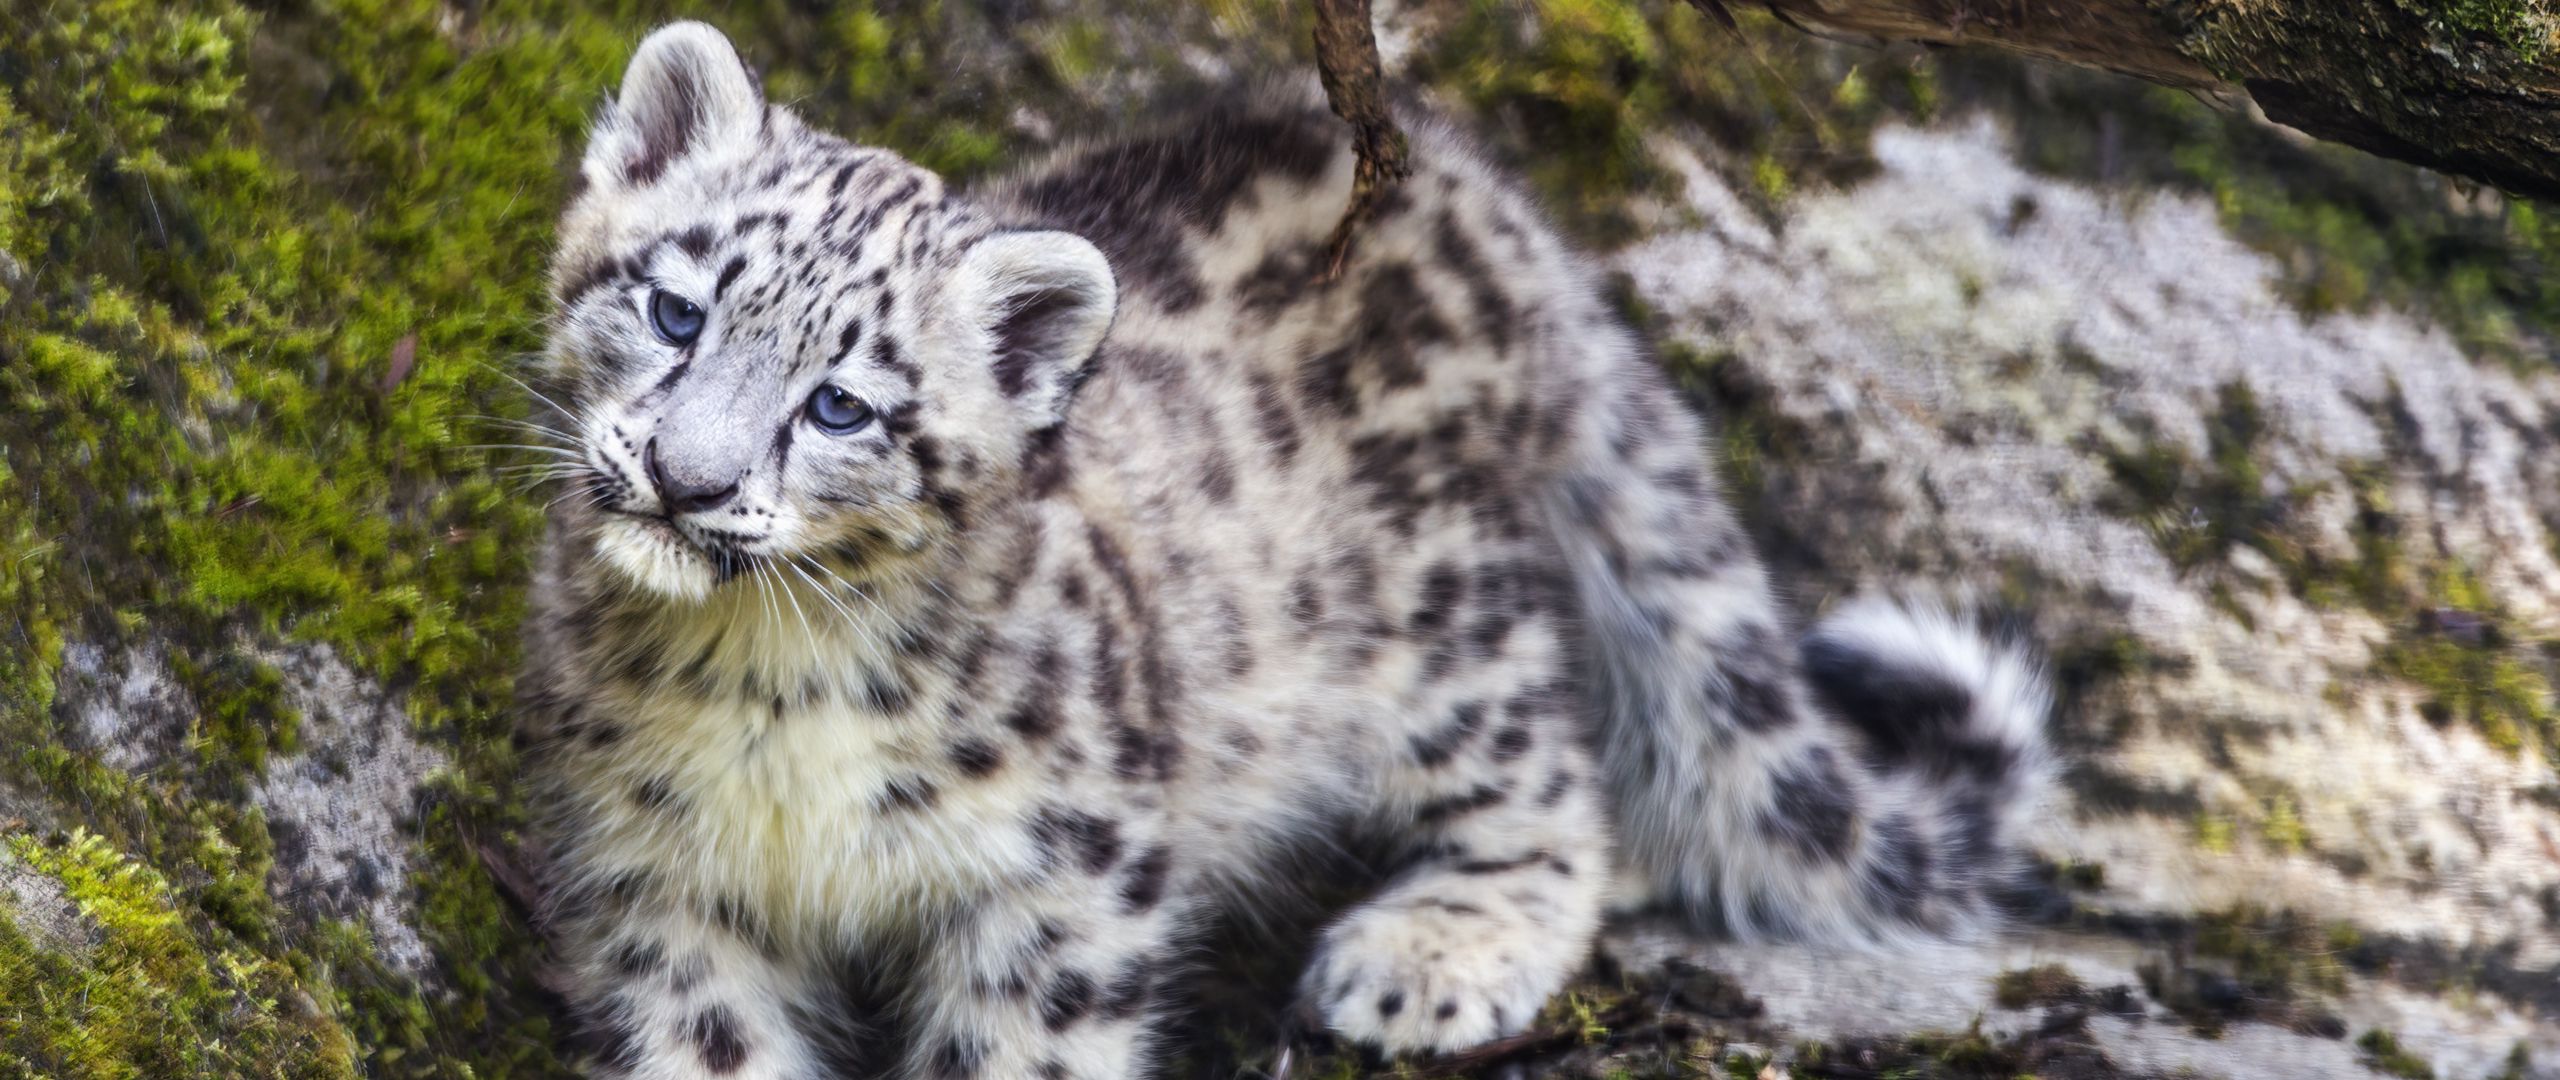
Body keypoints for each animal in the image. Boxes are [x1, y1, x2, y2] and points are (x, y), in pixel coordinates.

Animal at [514, 21, 2057, 1079]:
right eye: (673, 311)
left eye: (843, 404)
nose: (689, 479)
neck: (766, 686)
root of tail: (1493, 212)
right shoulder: (653, 879)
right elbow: (708, 1042)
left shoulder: (1064, 876)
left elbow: (1028, 1044)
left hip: (1437, 626)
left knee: (1553, 777)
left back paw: (1432, 951)